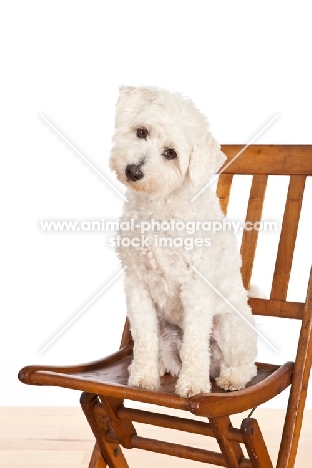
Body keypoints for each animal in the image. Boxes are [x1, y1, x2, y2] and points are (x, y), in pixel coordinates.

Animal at [109, 86, 256, 396]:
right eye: (142, 132)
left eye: (170, 154)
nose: (133, 171)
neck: (159, 207)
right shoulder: (137, 285)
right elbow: (143, 339)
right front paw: (143, 377)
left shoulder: (196, 288)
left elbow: (195, 345)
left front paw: (193, 385)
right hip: (166, 329)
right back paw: (161, 367)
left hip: (229, 325)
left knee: (244, 365)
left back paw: (230, 379)